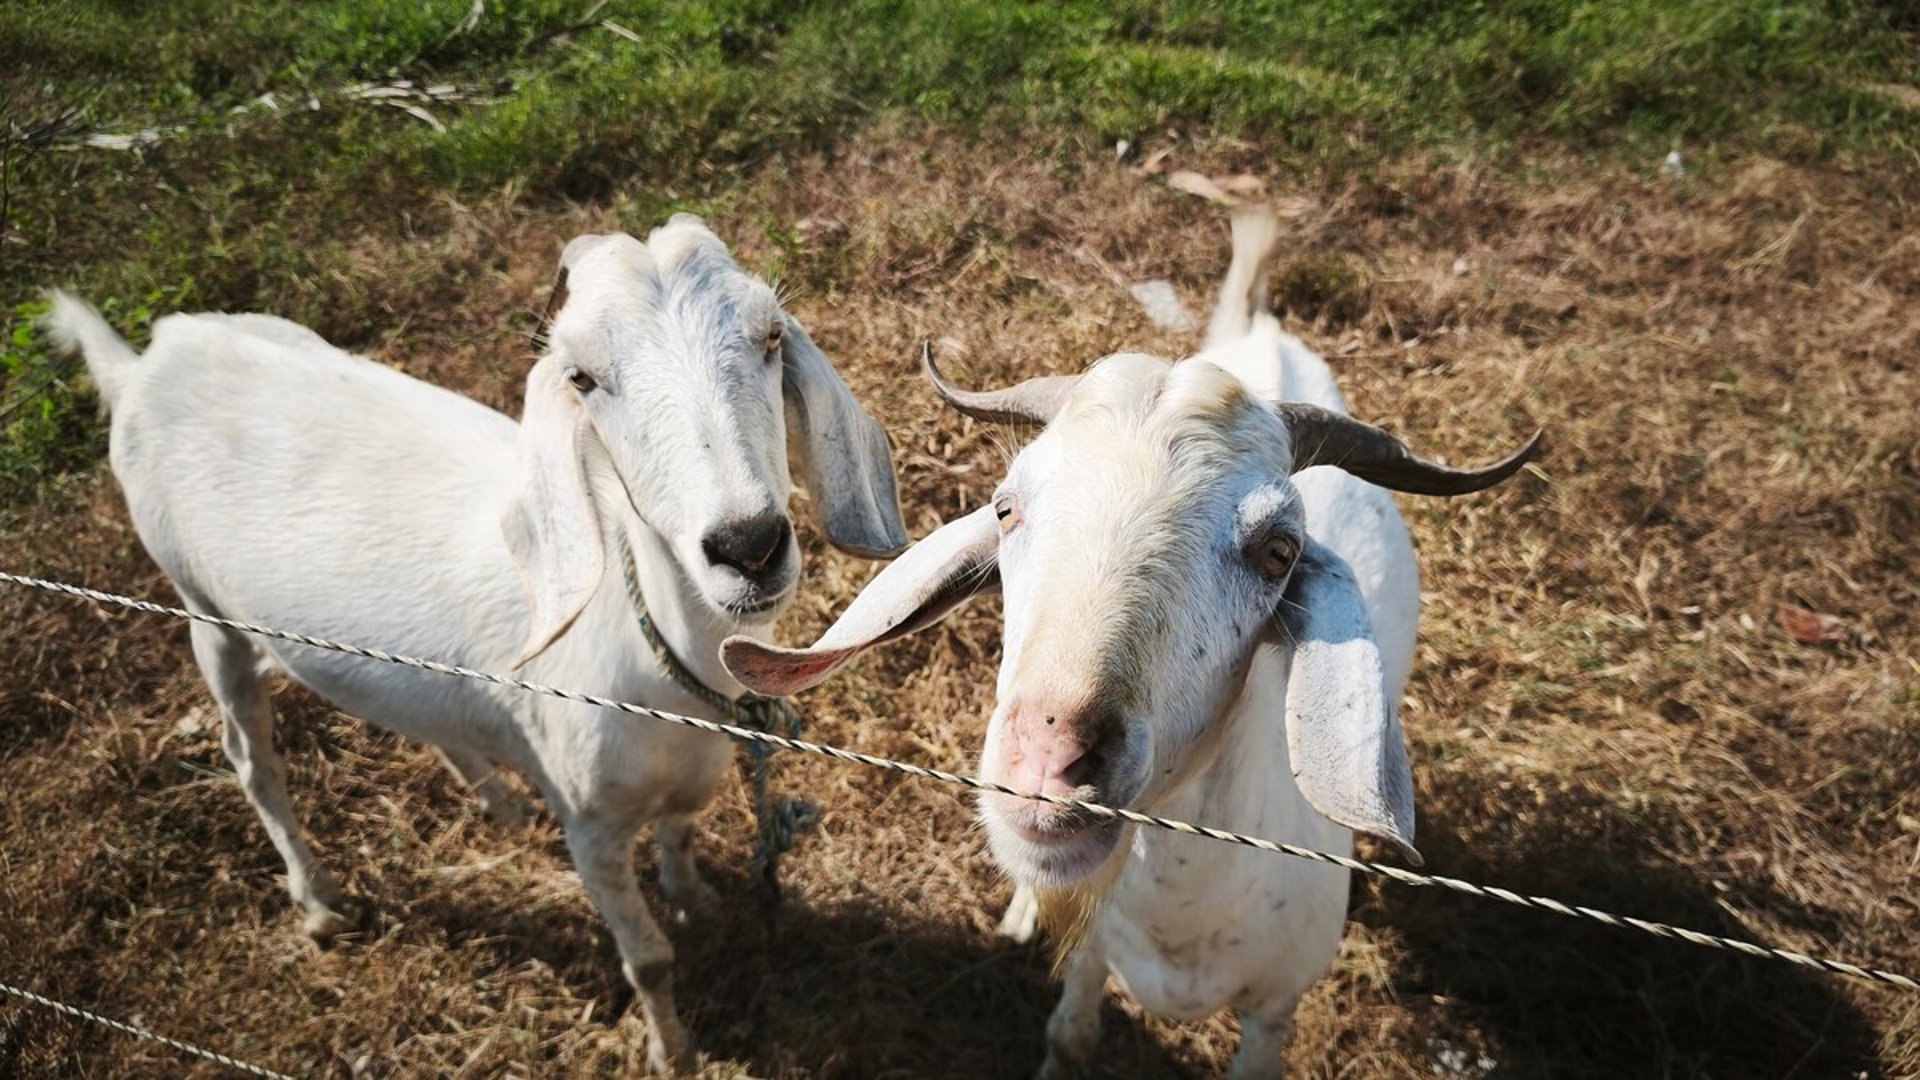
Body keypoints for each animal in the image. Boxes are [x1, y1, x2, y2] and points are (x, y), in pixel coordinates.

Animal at [44, 215, 908, 1076]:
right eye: (582, 377)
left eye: (771, 335)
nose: (749, 545)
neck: (658, 662)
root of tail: (145, 363)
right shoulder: (589, 827)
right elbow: (650, 960)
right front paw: (673, 1051)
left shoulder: (683, 783)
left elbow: (682, 838)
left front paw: (696, 898)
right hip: (202, 608)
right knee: (251, 758)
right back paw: (319, 902)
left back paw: (495, 797)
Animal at [723, 208, 1539, 1077]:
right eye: (1005, 509)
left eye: (1279, 551)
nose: (1049, 761)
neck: (1178, 917)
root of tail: (1264, 330)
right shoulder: (1089, 947)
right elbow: (1071, 1034)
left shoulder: (1274, 1008)